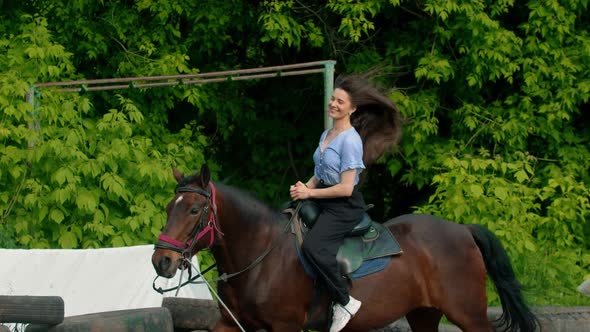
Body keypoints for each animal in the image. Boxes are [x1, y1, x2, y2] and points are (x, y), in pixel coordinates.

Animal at [153, 166, 540, 332]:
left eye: (193, 210)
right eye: (169, 208)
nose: (162, 261)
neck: (260, 255)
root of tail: (463, 231)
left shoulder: (285, 327)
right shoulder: (230, 326)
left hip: (469, 316)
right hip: (424, 314)